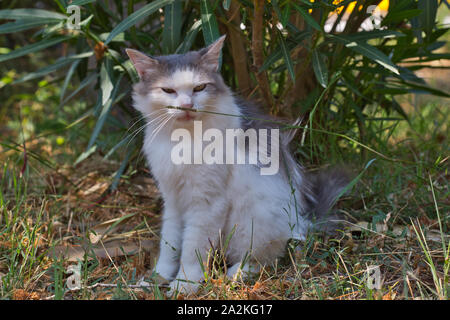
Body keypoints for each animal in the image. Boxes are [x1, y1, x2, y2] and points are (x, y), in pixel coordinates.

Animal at [126, 35, 348, 296]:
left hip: (255, 217)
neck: (182, 139)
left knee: (266, 257)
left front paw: (184, 284)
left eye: (199, 88)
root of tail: (305, 218)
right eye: (168, 90)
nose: (187, 105)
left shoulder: (206, 203)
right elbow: (169, 245)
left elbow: (192, 249)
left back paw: (234, 274)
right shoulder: (172, 200)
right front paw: (157, 278)